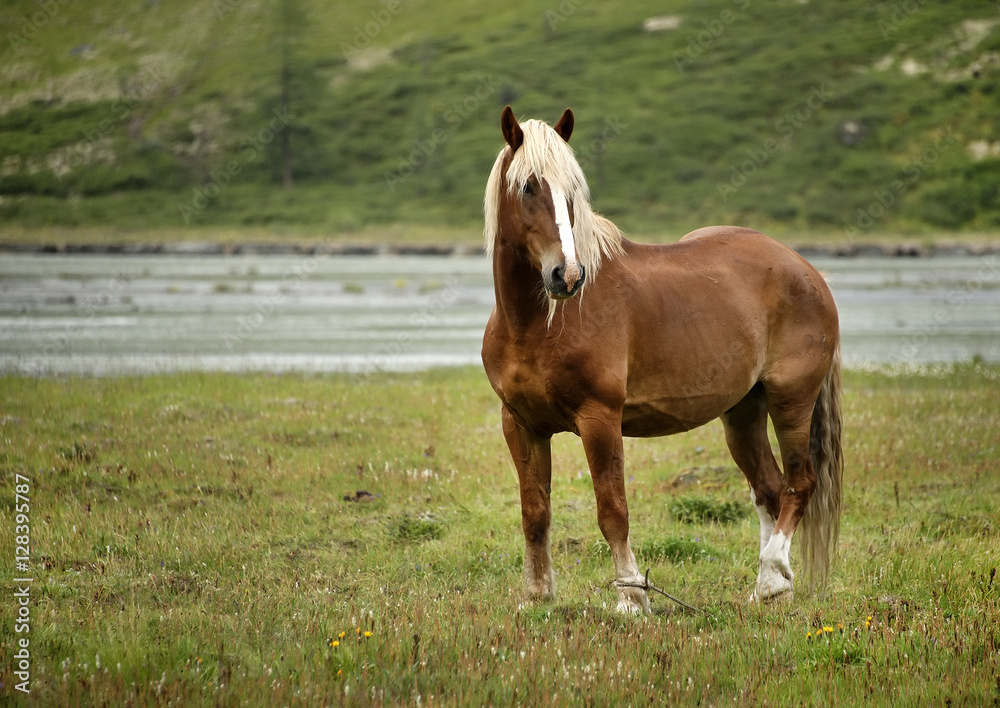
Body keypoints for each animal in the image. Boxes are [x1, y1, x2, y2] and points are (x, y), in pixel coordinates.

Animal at [481, 106, 842, 612]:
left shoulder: (599, 420)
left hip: (791, 402)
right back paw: (764, 588)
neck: (536, 324)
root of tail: (807, 270)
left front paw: (633, 599)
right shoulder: (520, 423)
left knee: (799, 482)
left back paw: (773, 575)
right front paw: (537, 597)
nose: (567, 275)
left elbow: (612, 512)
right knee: (769, 489)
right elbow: (534, 512)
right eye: (528, 187)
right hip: (742, 413)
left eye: (573, 190)